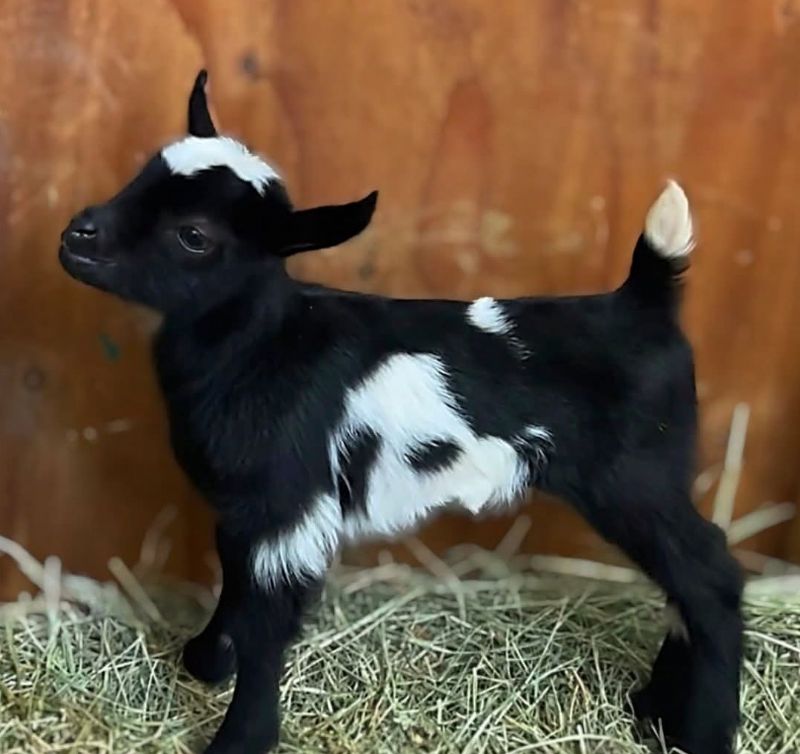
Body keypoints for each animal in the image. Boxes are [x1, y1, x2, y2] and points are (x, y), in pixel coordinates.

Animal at [59, 70, 743, 754]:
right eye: (143, 173)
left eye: (195, 235)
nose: (76, 236)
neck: (267, 344)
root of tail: (642, 303)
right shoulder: (247, 511)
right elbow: (235, 583)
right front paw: (206, 659)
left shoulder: (289, 507)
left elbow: (267, 622)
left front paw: (240, 737)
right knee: (686, 585)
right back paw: (653, 707)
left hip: (634, 479)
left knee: (710, 574)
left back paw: (704, 730)